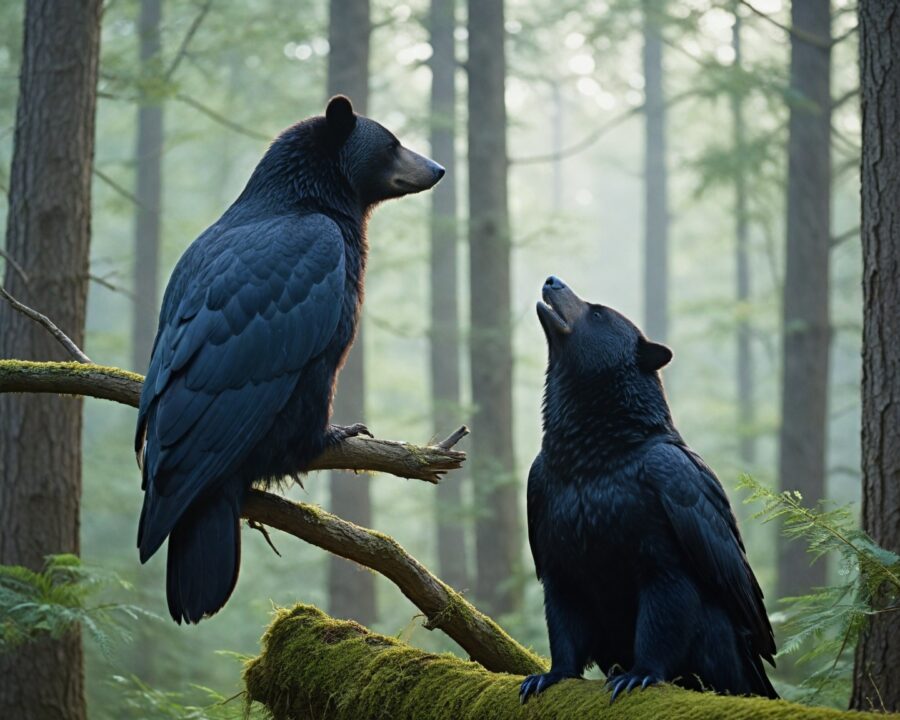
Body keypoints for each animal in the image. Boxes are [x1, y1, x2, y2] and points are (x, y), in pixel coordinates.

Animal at [520, 276, 777, 703]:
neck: (590, 458)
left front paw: (641, 674)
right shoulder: (558, 561)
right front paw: (552, 675)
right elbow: (564, 628)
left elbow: (661, 626)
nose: (551, 281)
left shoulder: (664, 562)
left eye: (597, 313)